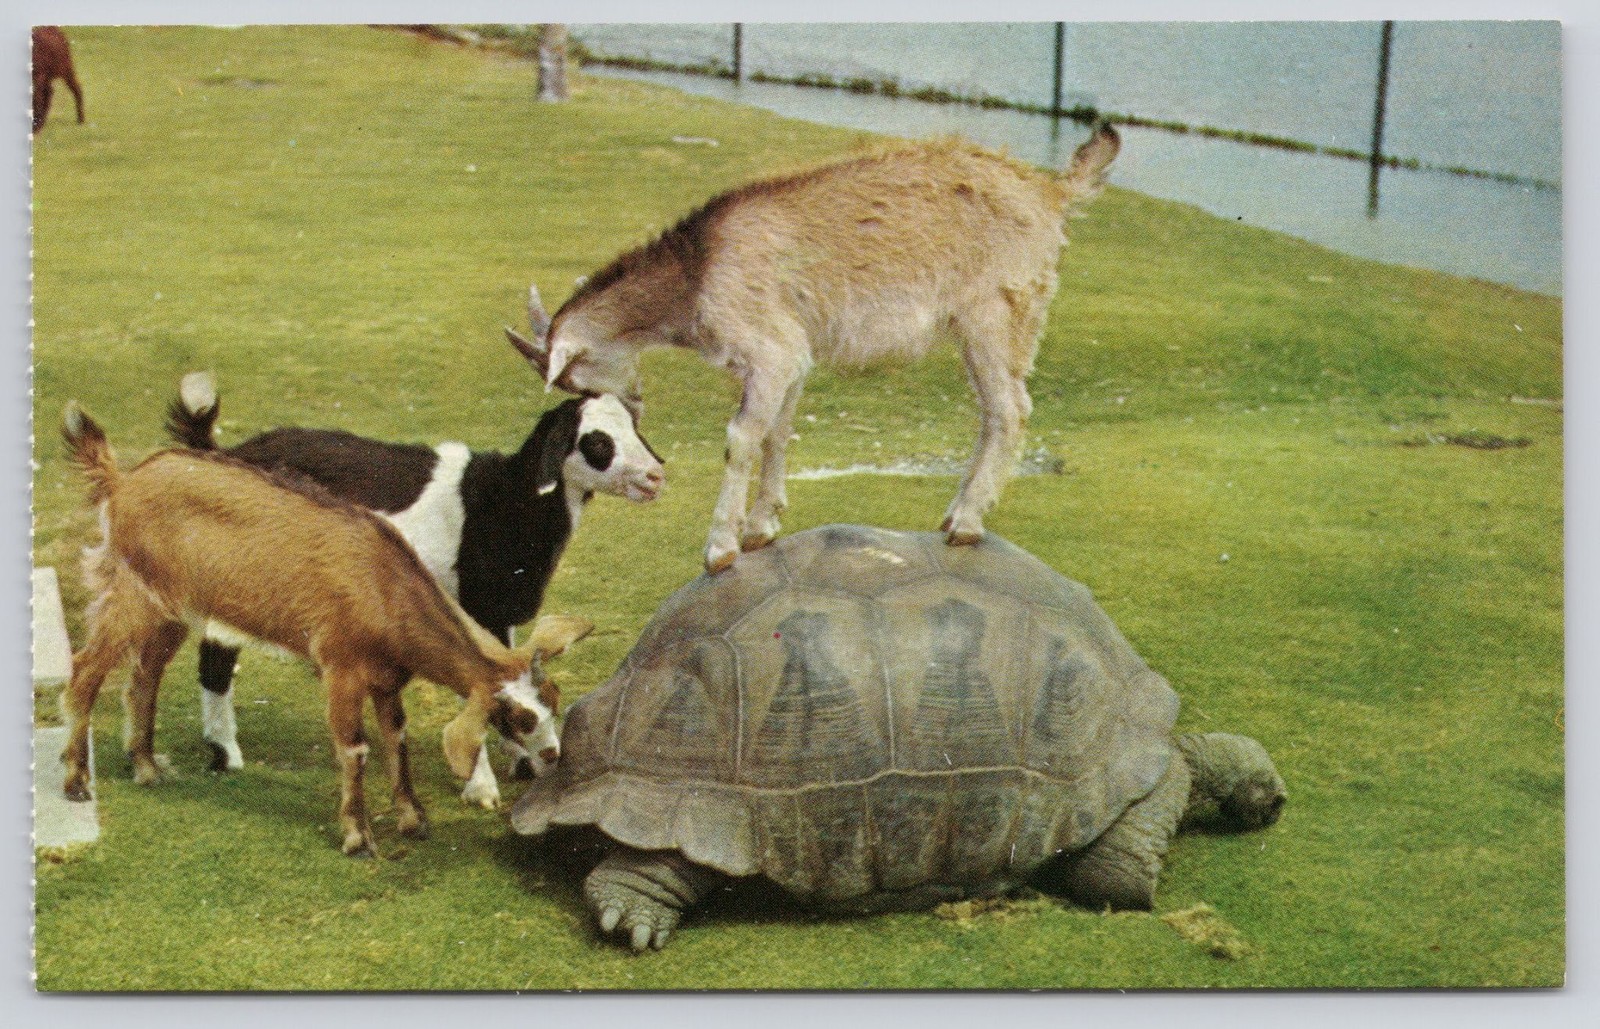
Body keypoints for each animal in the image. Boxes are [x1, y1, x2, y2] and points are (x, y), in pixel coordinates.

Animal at [59, 403, 570, 856]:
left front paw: (413, 819)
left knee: (145, 675)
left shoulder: (387, 678)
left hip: (174, 607)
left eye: (553, 700)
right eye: (519, 718)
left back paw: (146, 767)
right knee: (86, 668)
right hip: (133, 591)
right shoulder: (341, 667)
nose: (553, 756)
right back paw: (77, 782)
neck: (383, 585)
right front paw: (357, 836)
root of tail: (122, 482)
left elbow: (396, 739)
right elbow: (355, 748)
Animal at [164, 366, 662, 788]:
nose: (656, 476)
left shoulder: (500, 609)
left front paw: (522, 760)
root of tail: (221, 454)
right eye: (596, 441)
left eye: (634, 426)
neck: (505, 501)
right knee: (216, 656)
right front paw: (483, 785)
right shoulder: (476, 606)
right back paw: (226, 754)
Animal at [508, 126, 1119, 572]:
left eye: (576, 379)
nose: (633, 405)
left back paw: (967, 522)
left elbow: (740, 438)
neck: (697, 273)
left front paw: (720, 547)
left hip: (996, 312)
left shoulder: (768, 346)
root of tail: (1052, 194)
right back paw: (954, 518)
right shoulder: (789, 355)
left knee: (1010, 409)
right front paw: (761, 527)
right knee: (997, 411)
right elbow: (777, 431)